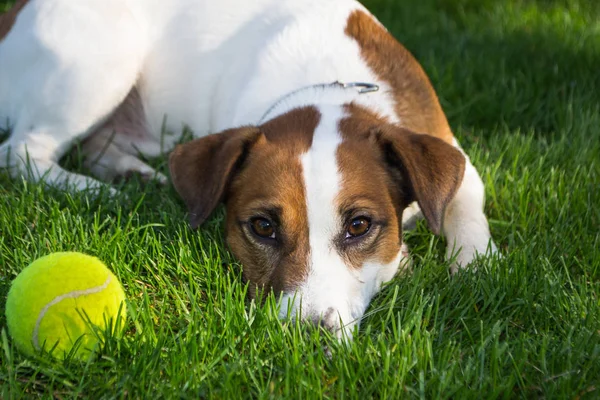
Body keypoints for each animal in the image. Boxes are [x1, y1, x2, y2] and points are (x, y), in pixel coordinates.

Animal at [0, 0, 496, 340]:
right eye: (262, 226)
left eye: (359, 226)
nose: (306, 334)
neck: (325, 87)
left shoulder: (455, 155)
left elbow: (465, 207)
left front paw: (475, 264)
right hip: (101, 59)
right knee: (22, 151)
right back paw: (97, 190)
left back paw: (130, 175)